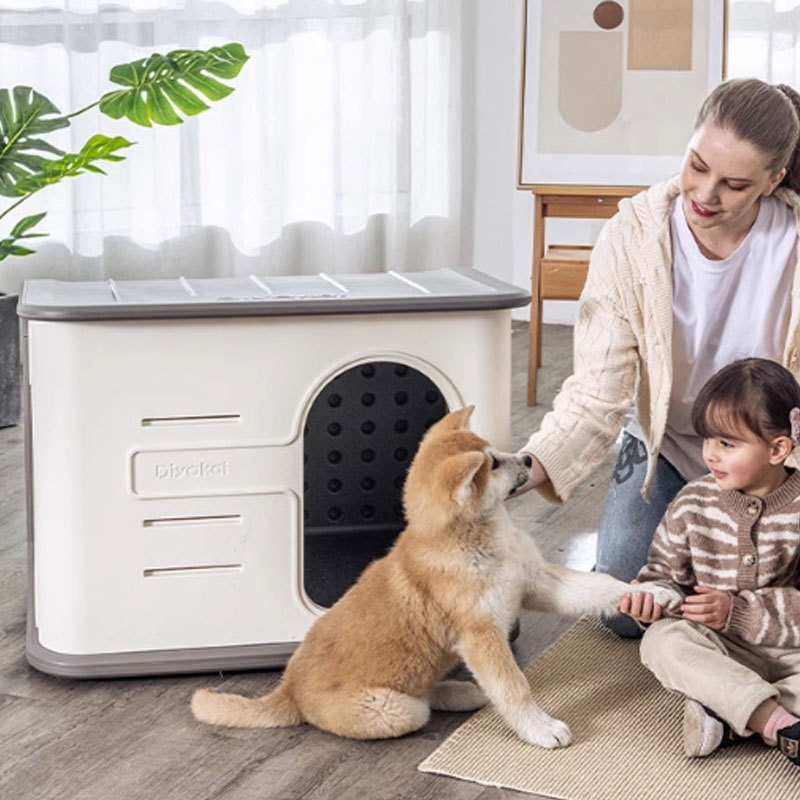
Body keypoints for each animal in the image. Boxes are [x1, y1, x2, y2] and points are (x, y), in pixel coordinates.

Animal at [191, 410, 680, 748]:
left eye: (498, 455)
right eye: (492, 465)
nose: (526, 457)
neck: (482, 540)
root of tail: (287, 691)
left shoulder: (538, 582)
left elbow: (604, 588)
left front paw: (651, 592)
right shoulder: (481, 635)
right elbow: (514, 688)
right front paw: (540, 730)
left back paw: (465, 692)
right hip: (392, 709)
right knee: (421, 707)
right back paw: (461, 694)